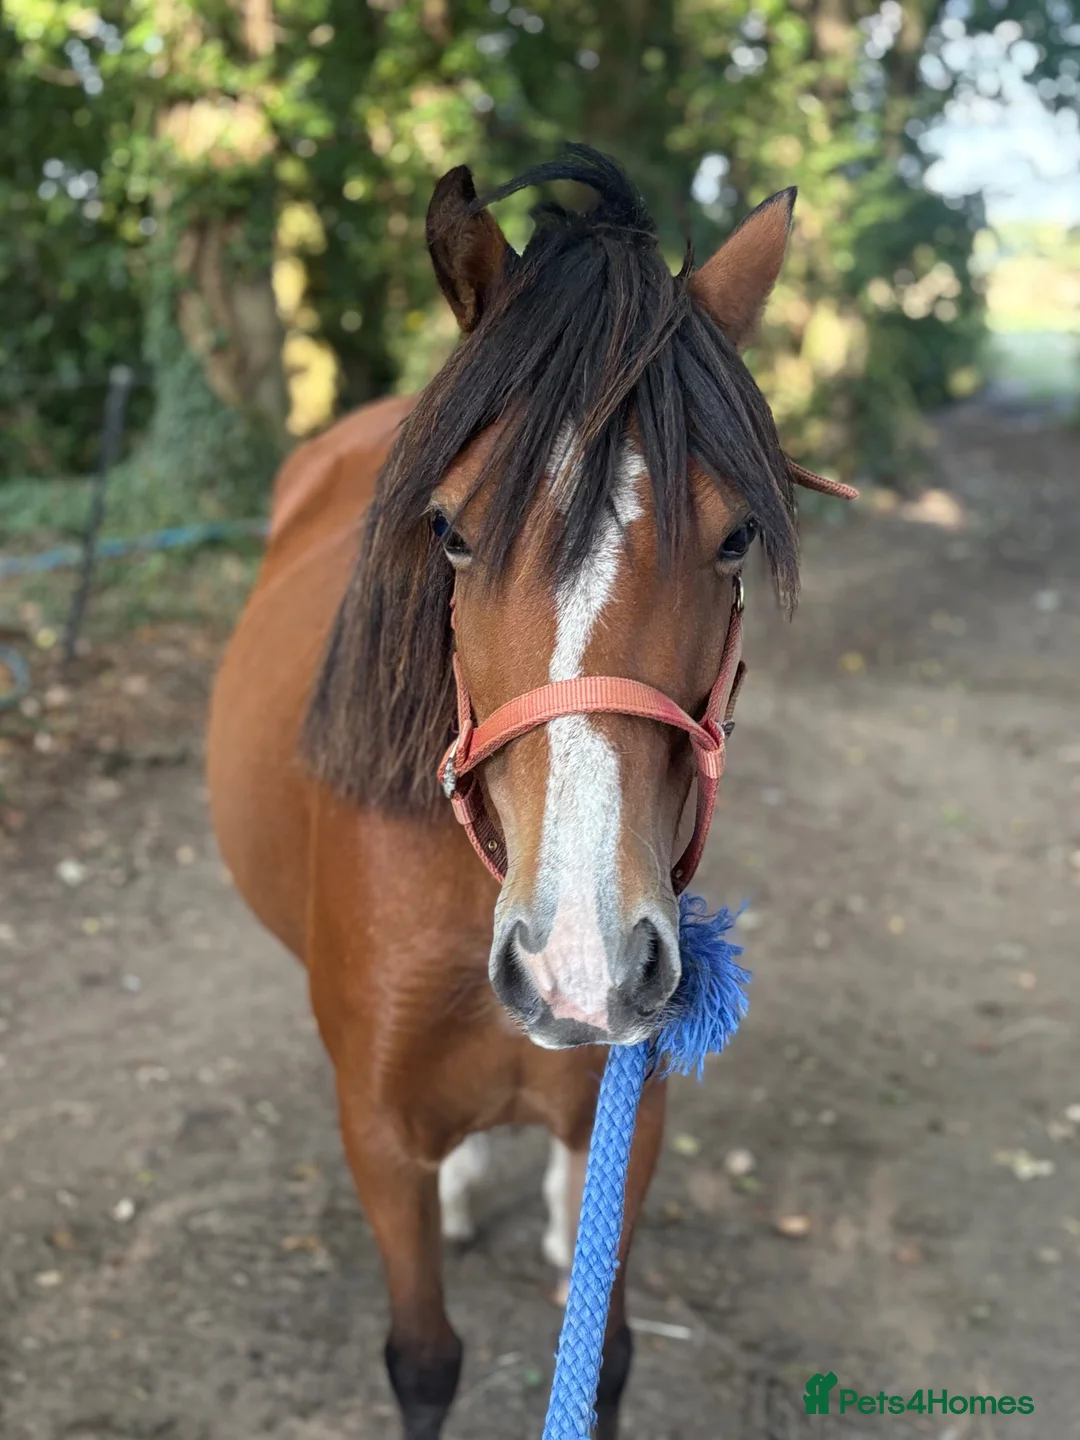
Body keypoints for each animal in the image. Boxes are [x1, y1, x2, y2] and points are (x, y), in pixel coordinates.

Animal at [207, 145, 842, 1439]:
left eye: (737, 539)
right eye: (449, 531)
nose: (582, 961)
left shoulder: (632, 1118)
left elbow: (602, 1355)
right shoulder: (376, 1137)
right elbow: (424, 1359)